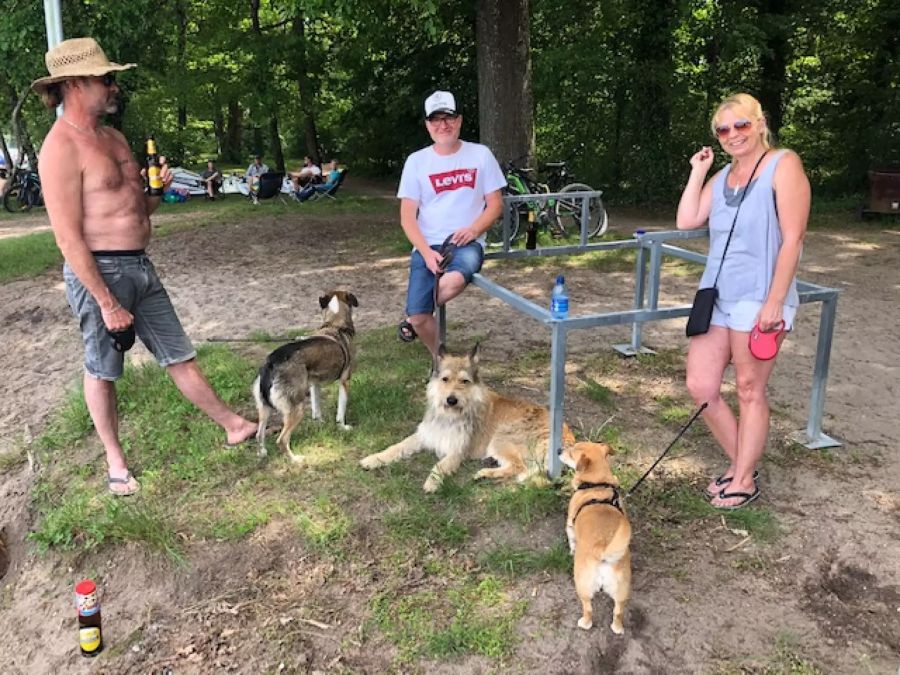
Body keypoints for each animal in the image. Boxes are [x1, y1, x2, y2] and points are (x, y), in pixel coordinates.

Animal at [251, 290, 356, 464]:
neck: (334, 325)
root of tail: (271, 363)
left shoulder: (314, 384)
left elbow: (316, 408)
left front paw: (320, 423)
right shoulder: (344, 381)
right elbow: (341, 411)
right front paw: (343, 427)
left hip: (264, 408)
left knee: (259, 434)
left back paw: (263, 453)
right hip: (297, 409)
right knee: (281, 440)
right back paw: (296, 460)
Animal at [360, 346, 576, 494]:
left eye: (465, 381)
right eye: (445, 379)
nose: (451, 399)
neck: (450, 414)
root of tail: (566, 437)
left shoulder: (457, 450)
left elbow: (439, 465)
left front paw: (432, 482)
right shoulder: (425, 435)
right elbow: (396, 447)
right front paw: (373, 459)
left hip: (501, 438)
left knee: (520, 467)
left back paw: (485, 473)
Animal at [560, 440, 628, 636]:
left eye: (571, 452)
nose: (558, 449)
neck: (598, 484)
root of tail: (603, 553)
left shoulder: (569, 524)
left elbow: (571, 540)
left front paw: (571, 551)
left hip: (582, 585)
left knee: (588, 609)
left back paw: (584, 623)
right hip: (622, 591)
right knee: (618, 612)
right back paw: (617, 628)